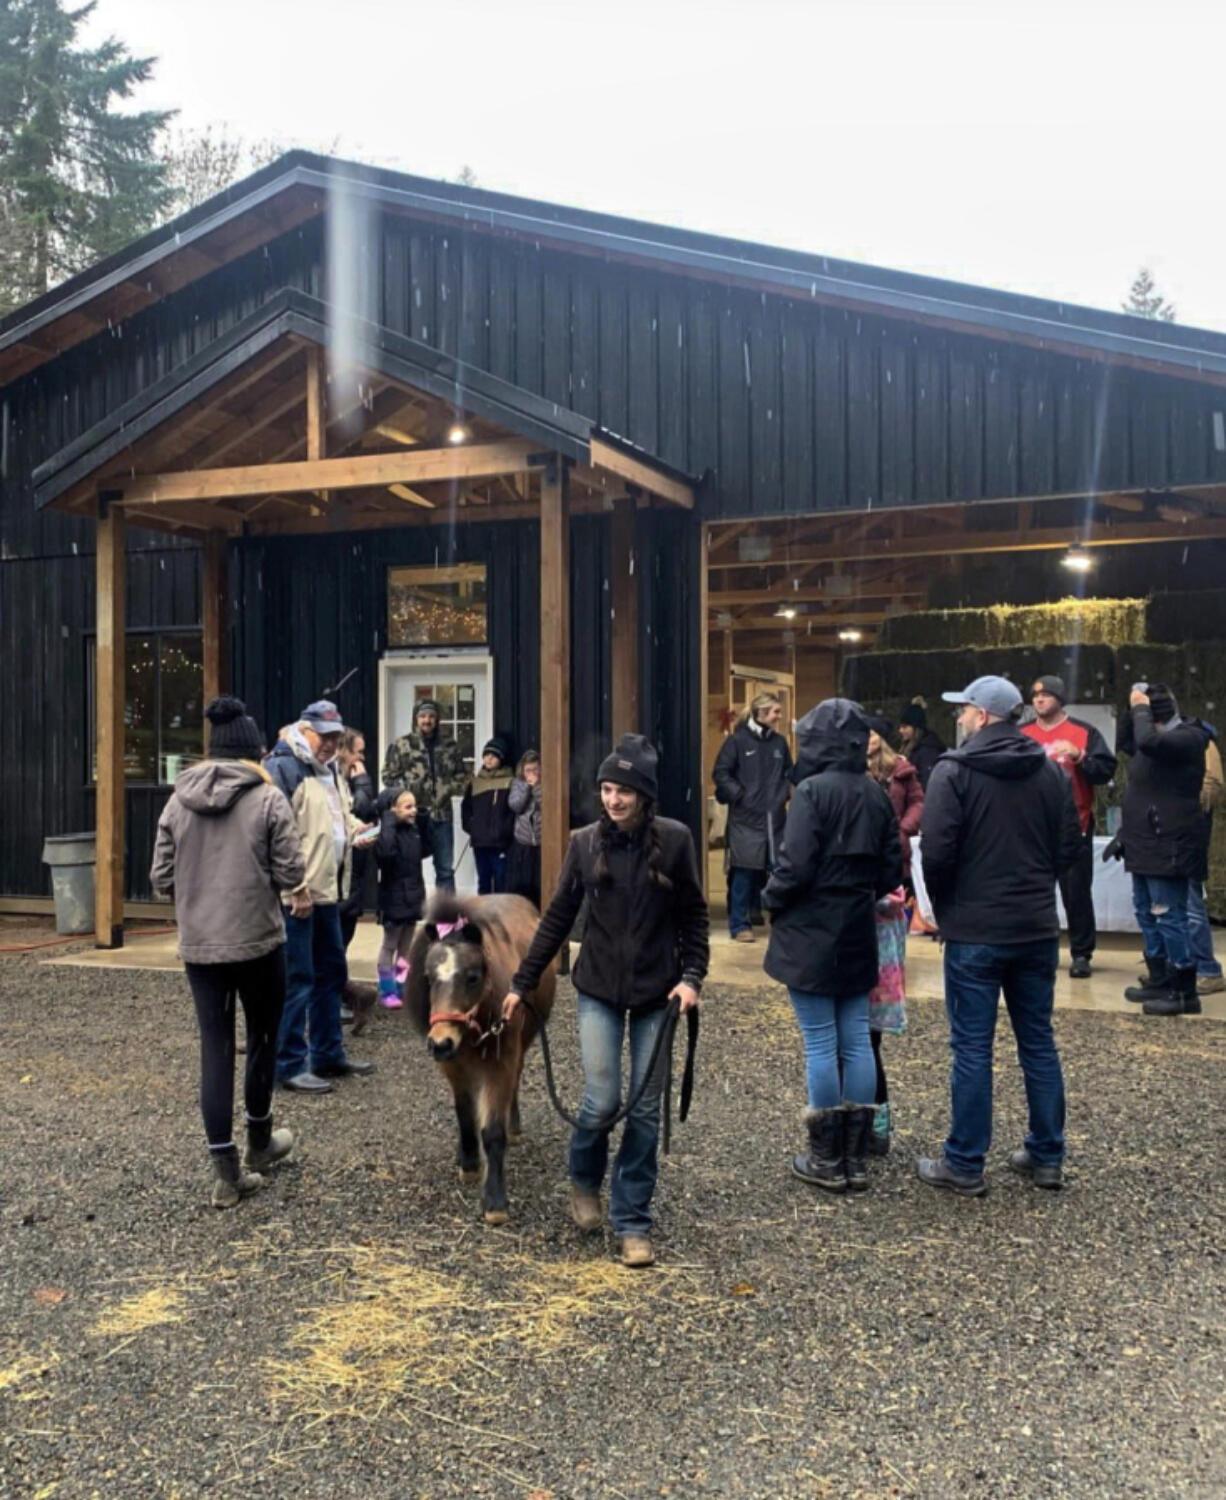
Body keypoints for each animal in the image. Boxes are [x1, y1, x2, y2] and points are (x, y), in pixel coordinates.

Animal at [405, 894, 552, 1224]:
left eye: (472, 977)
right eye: (428, 978)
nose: (440, 1042)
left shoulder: (500, 1064)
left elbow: (493, 1131)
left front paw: (495, 1201)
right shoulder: (454, 1067)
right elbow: (464, 1114)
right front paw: (469, 1162)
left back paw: (514, 1126)